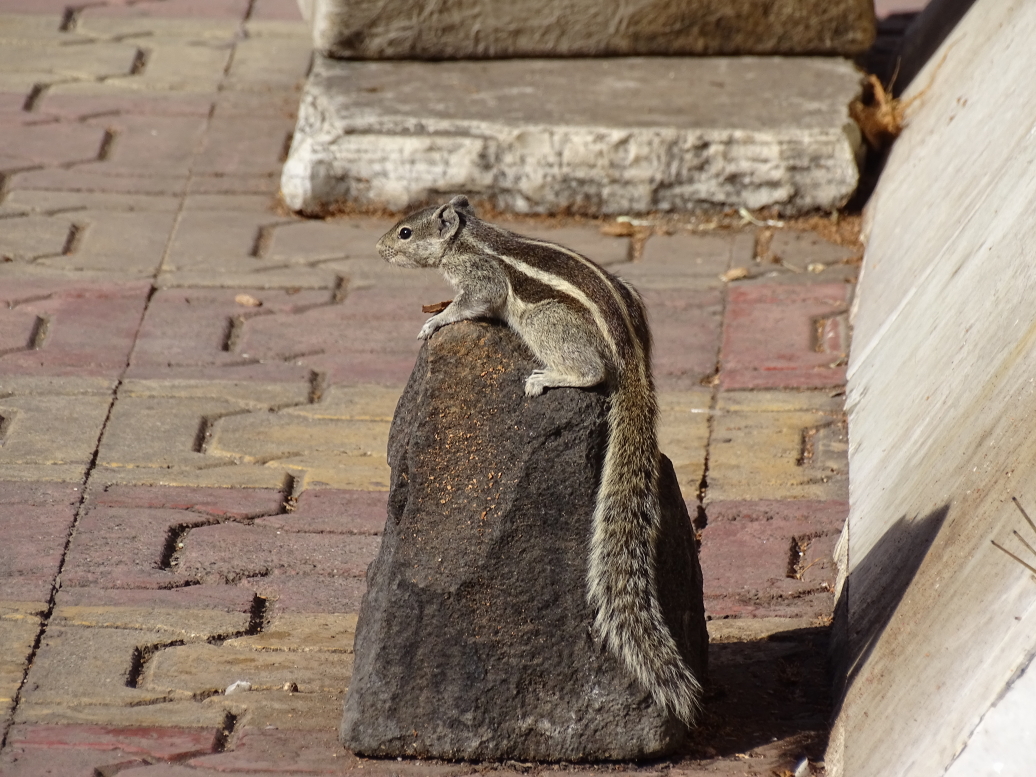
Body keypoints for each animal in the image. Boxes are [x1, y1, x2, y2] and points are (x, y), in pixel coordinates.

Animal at [376, 195, 702, 726]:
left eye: (405, 232)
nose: (379, 248)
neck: (469, 238)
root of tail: (634, 360)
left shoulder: (481, 279)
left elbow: (473, 303)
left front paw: (437, 319)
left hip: (545, 322)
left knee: (591, 372)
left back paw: (549, 377)